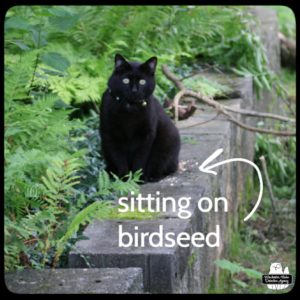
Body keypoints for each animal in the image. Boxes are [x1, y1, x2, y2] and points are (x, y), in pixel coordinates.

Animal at [100, 54, 180, 183]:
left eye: (142, 82)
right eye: (125, 80)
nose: (134, 90)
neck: (130, 108)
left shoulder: (146, 135)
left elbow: (140, 159)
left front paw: (138, 178)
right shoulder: (110, 134)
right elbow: (119, 158)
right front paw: (123, 178)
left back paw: (153, 176)